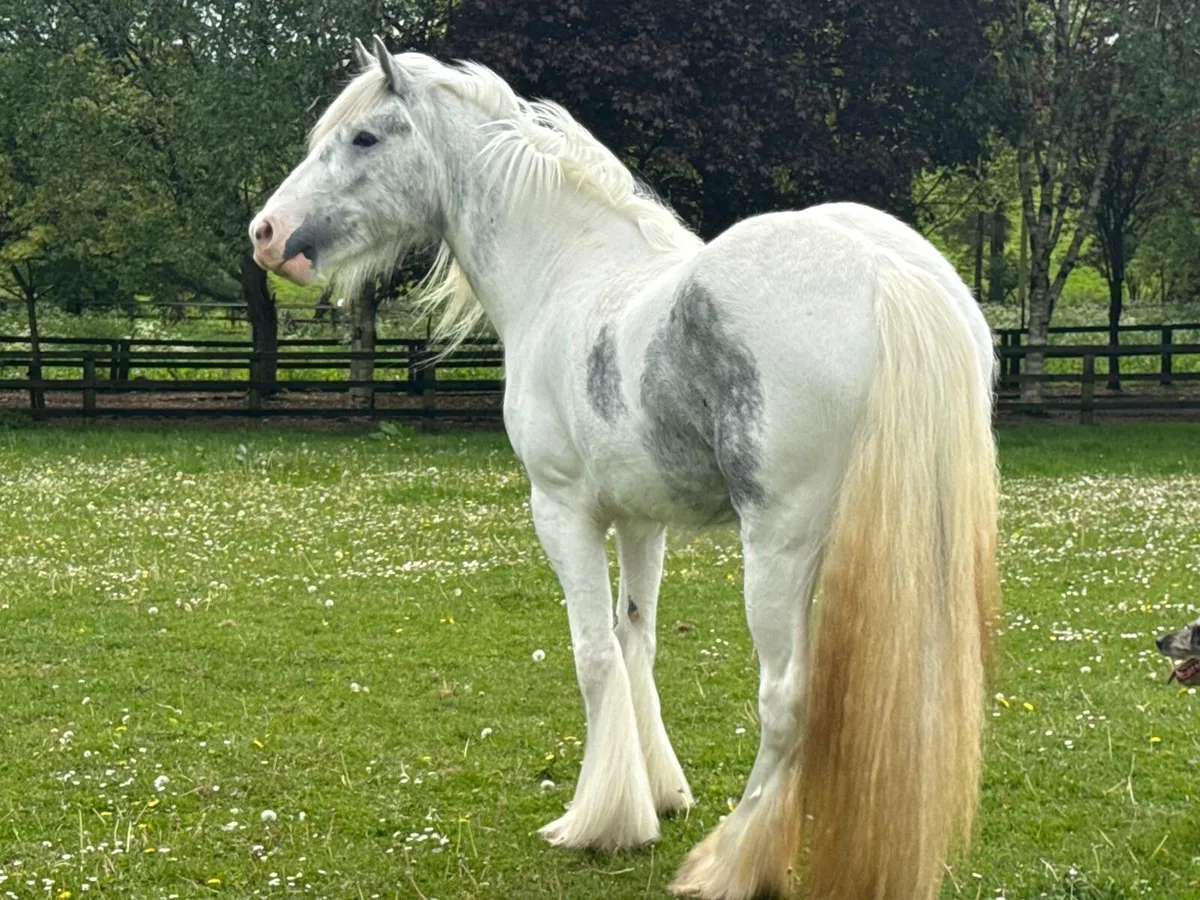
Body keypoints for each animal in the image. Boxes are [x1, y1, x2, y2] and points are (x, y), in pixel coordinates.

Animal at [250, 38, 1000, 900]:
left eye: (365, 137)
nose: (266, 232)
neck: (565, 274)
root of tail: (885, 274)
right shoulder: (644, 521)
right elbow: (637, 638)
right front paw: (659, 791)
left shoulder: (562, 511)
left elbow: (594, 652)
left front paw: (599, 820)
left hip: (781, 550)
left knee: (786, 702)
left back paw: (729, 862)